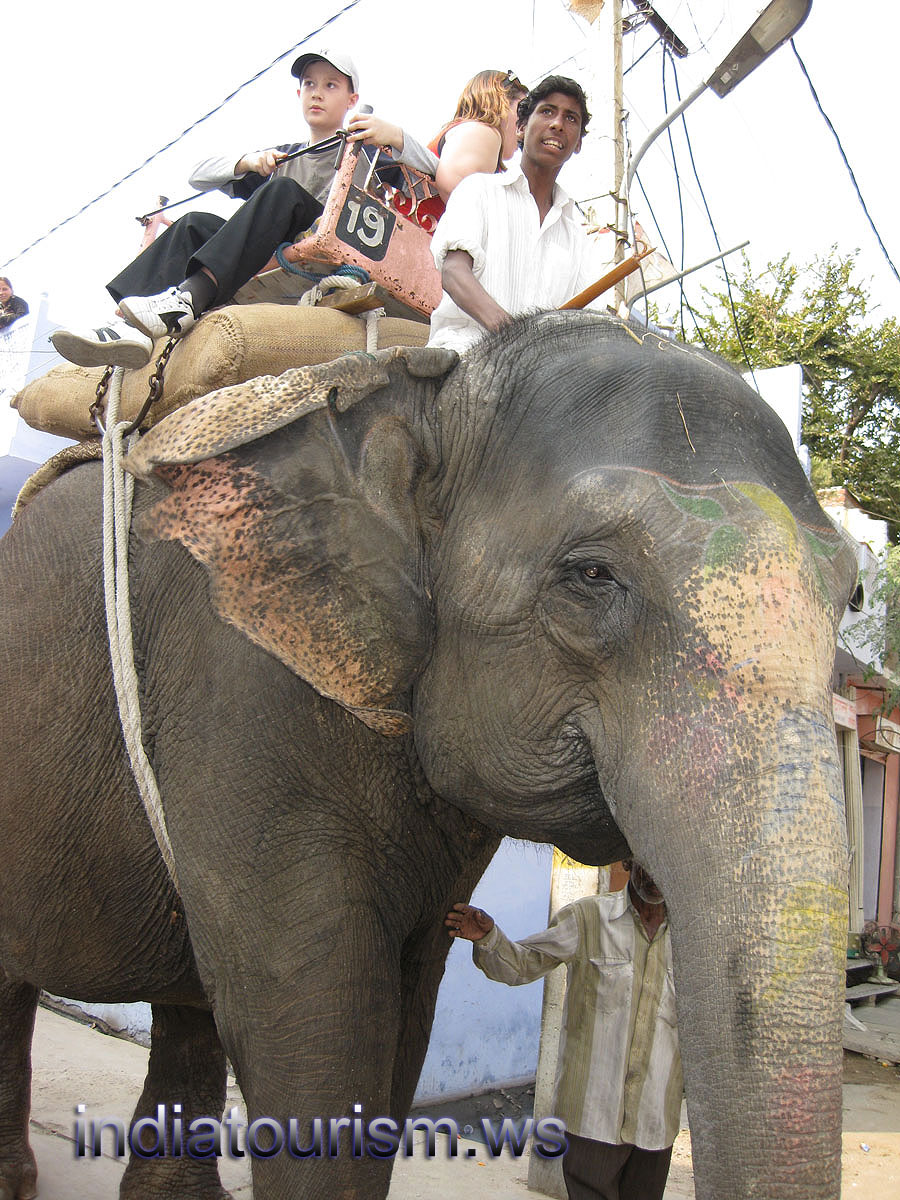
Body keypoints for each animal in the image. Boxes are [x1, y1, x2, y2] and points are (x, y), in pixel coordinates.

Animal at [0, 310, 856, 1200]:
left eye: (855, 595)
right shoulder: (236, 685)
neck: (431, 398)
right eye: (592, 575)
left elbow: (403, 1015)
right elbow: (315, 1017)